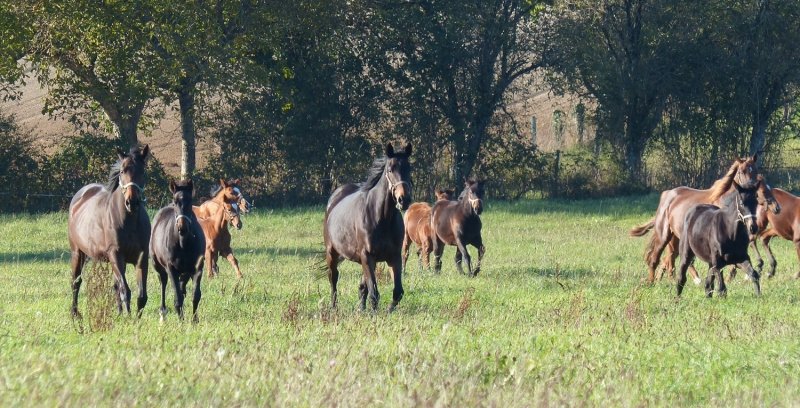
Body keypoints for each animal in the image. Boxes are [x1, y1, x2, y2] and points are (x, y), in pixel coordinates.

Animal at [68, 145, 151, 318]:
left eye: (143, 171)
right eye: (122, 171)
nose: (132, 202)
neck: (129, 221)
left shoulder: (141, 258)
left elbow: (141, 295)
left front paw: (136, 319)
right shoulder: (116, 255)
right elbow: (125, 290)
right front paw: (129, 318)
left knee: (115, 285)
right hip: (78, 253)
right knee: (76, 281)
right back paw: (75, 313)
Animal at [150, 180, 206, 322]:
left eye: (190, 200)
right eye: (175, 201)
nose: (182, 227)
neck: (183, 243)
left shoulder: (197, 268)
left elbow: (195, 295)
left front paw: (194, 320)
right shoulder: (171, 269)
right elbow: (178, 297)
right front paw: (181, 320)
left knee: (182, 286)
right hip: (158, 266)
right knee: (163, 283)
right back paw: (163, 313)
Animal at [323, 143, 412, 312]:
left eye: (409, 169)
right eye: (390, 169)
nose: (403, 199)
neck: (381, 218)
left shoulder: (393, 257)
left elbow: (397, 291)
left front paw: (388, 310)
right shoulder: (367, 255)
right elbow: (374, 293)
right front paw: (374, 313)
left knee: (362, 286)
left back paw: (361, 308)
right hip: (332, 253)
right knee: (333, 279)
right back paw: (333, 307)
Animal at [629, 156, 776, 284]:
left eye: (755, 170)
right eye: (741, 171)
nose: (775, 207)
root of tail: (667, 194)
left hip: (675, 239)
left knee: (669, 261)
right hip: (664, 235)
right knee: (656, 258)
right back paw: (654, 282)